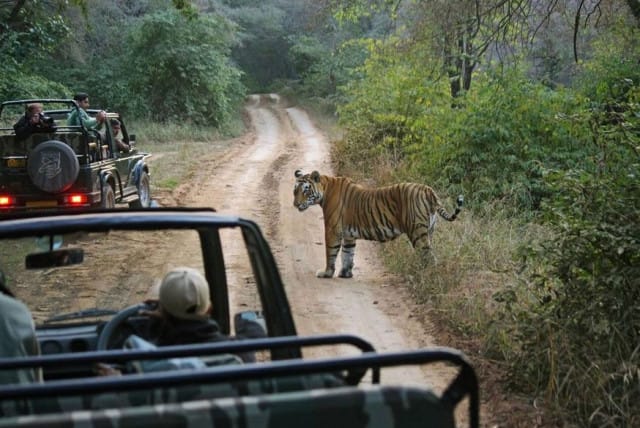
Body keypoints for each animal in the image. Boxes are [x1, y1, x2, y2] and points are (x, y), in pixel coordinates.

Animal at [293, 169, 464, 278]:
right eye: (295, 191)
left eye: (306, 190)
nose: (295, 204)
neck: (325, 189)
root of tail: (428, 189)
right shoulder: (348, 235)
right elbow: (348, 253)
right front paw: (345, 274)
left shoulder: (332, 230)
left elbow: (331, 253)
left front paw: (326, 273)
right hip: (429, 231)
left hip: (417, 233)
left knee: (429, 257)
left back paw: (425, 277)